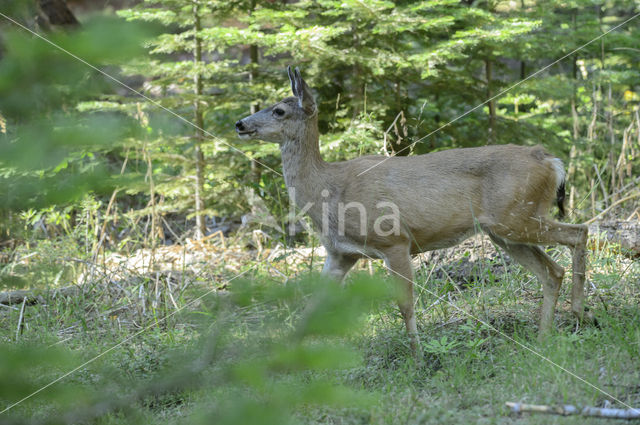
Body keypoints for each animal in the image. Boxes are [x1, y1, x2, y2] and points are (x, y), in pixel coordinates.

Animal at [234, 65, 584, 344]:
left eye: (279, 111)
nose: (240, 123)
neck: (329, 189)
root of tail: (550, 160)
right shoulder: (340, 253)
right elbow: (310, 310)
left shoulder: (394, 240)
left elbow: (405, 306)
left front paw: (418, 359)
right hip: (504, 231)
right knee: (552, 271)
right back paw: (546, 335)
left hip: (516, 216)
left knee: (578, 232)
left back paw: (579, 314)